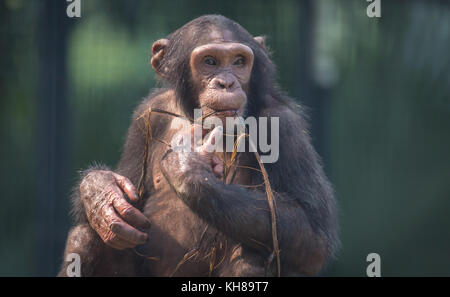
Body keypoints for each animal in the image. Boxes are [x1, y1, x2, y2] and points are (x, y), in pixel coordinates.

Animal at [60, 15, 342, 276]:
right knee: (85, 237)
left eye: (239, 62)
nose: (226, 83)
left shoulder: (284, 125)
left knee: (252, 258)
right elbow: (130, 193)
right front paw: (100, 191)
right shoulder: (145, 116)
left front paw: (186, 167)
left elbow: (313, 231)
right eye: (210, 62)